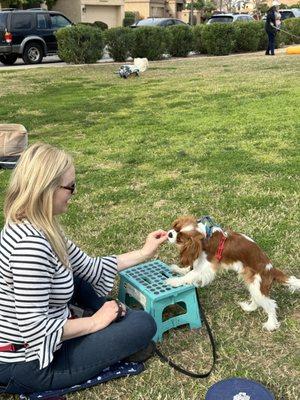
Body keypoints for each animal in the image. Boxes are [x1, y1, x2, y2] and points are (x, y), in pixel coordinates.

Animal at [166, 216, 300, 332]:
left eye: (180, 238)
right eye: (176, 227)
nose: (169, 234)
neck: (206, 236)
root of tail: (271, 269)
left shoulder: (207, 266)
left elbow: (192, 274)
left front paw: (174, 281)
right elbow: (190, 268)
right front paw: (179, 269)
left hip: (258, 284)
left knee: (270, 304)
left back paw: (271, 324)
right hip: (252, 283)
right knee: (257, 300)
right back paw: (248, 307)